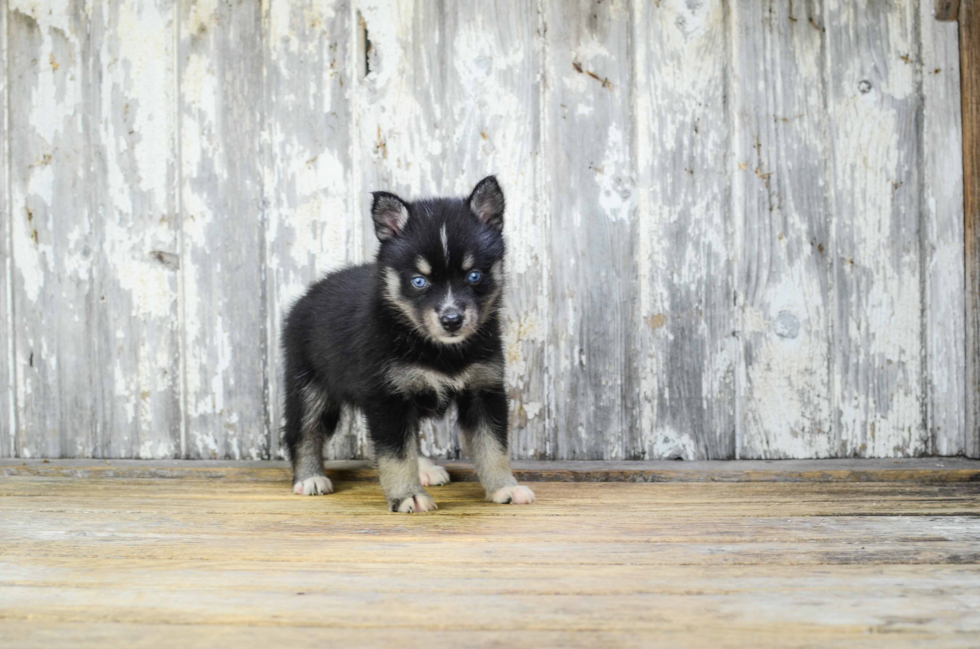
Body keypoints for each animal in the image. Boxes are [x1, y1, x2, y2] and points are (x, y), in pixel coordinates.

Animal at [280, 176, 540, 512]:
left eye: (474, 275)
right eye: (419, 281)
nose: (452, 320)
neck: (434, 345)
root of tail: (306, 297)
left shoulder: (484, 389)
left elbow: (493, 446)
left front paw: (505, 487)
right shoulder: (387, 396)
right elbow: (396, 454)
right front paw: (408, 496)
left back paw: (426, 468)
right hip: (308, 383)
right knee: (304, 431)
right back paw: (309, 477)